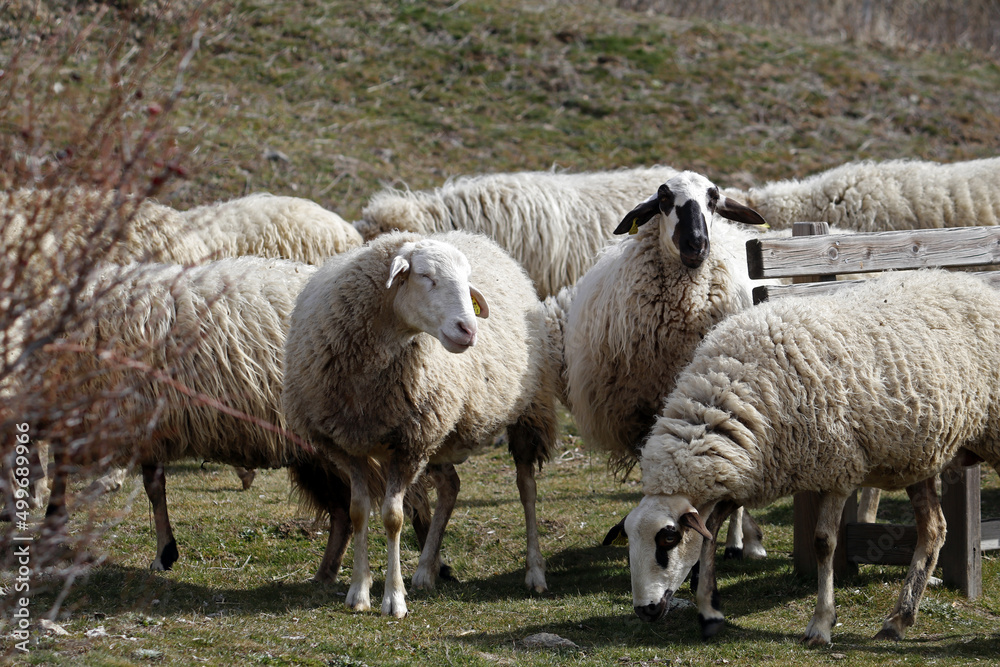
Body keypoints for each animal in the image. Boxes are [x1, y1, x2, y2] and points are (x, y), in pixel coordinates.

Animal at [282, 230, 559, 618]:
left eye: (466, 280)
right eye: (426, 276)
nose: (469, 330)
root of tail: (479, 237)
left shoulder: (409, 445)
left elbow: (393, 517)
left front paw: (393, 599)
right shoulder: (350, 446)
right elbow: (357, 513)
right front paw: (358, 593)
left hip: (529, 410)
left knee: (526, 488)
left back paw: (535, 572)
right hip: (441, 433)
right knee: (450, 487)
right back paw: (426, 570)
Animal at [618, 268, 1000, 645]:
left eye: (668, 538)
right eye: (629, 539)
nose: (645, 610)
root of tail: (973, 282)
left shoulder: (839, 469)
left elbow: (823, 543)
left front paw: (821, 624)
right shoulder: (744, 476)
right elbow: (709, 533)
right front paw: (709, 611)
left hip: (991, 433)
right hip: (917, 455)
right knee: (934, 529)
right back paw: (899, 619)